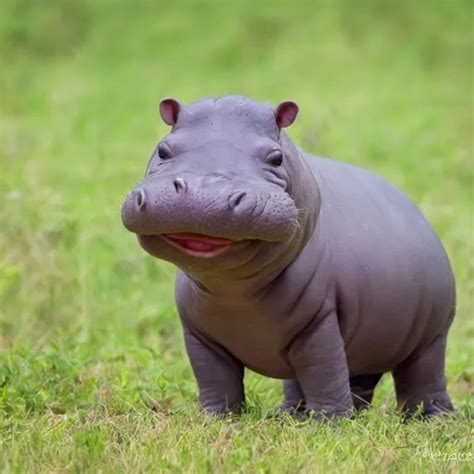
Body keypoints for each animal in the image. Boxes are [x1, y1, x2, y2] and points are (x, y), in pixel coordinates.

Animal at [121, 95, 456, 418]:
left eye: (276, 157)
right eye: (163, 149)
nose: (204, 195)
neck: (234, 291)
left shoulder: (319, 321)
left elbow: (324, 372)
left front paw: (330, 423)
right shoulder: (198, 336)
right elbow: (214, 378)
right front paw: (215, 418)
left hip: (432, 337)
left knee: (422, 376)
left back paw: (433, 418)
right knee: (338, 380)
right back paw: (294, 415)